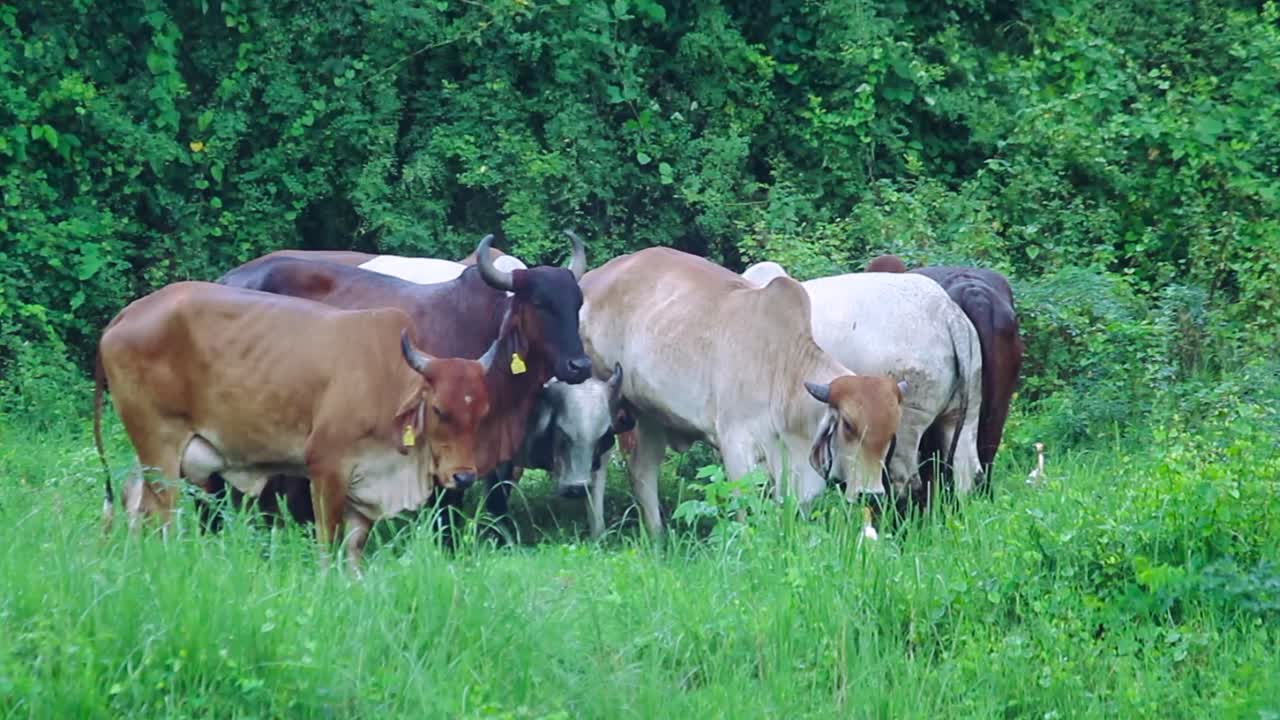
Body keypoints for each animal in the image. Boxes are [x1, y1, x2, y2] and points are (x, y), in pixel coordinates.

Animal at [93, 281, 493, 572]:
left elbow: (354, 549)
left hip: (150, 451)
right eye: (439, 410)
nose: (464, 477)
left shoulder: (364, 484)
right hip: (160, 447)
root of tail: (128, 313)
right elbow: (328, 542)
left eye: (482, 412)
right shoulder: (326, 469)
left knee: (133, 500)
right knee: (159, 514)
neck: (387, 382)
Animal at [578, 247, 908, 537]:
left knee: (643, 470)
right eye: (849, 426)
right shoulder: (736, 443)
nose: (870, 494)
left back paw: (657, 537)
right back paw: (598, 530)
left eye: (892, 432)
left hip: (651, 414)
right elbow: (743, 502)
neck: (783, 368)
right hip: (603, 395)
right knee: (598, 466)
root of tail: (592, 278)